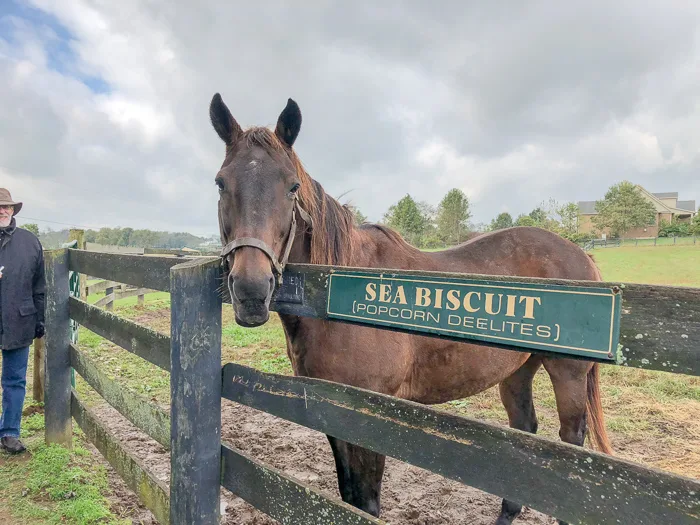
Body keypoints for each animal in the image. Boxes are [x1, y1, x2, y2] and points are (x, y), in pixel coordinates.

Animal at [209, 94, 612, 524]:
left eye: (292, 186)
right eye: (221, 183)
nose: (251, 290)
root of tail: (581, 255)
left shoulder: (371, 415)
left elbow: (366, 501)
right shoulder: (331, 412)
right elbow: (349, 494)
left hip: (567, 373)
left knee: (571, 444)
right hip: (517, 369)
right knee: (525, 430)